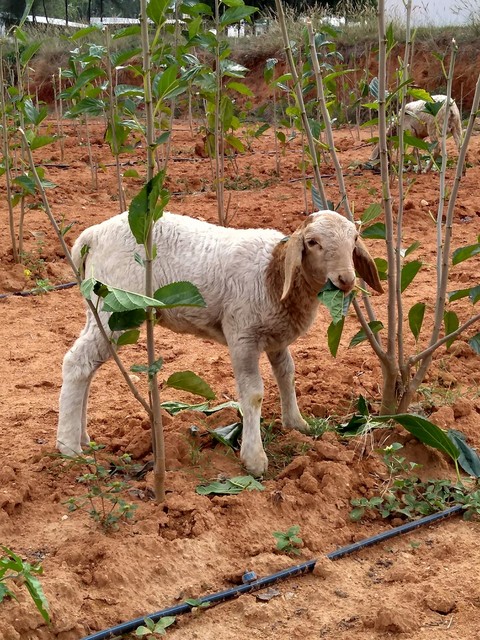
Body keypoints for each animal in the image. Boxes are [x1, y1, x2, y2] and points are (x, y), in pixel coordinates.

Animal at [57, 210, 383, 476]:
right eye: (313, 242)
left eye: (355, 239)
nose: (346, 279)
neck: (274, 274)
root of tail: (93, 235)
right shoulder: (242, 334)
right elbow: (253, 394)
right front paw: (254, 458)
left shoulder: (277, 336)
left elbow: (287, 374)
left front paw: (297, 423)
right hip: (114, 307)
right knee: (77, 363)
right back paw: (68, 447)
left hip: (100, 308)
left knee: (87, 368)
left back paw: (82, 438)